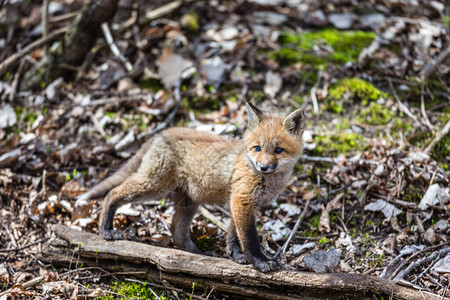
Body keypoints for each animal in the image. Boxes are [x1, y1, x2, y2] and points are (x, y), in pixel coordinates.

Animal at [77, 102, 306, 272]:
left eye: (278, 150)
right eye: (257, 148)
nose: (263, 167)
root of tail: (161, 133)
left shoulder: (241, 203)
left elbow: (233, 234)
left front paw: (236, 255)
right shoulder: (242, 200)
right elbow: (249, 239)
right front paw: (259, 262)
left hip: (189, 201)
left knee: (177, 233)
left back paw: (195, 254)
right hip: (154, 186)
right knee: (113, 193)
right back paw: (105, 230)